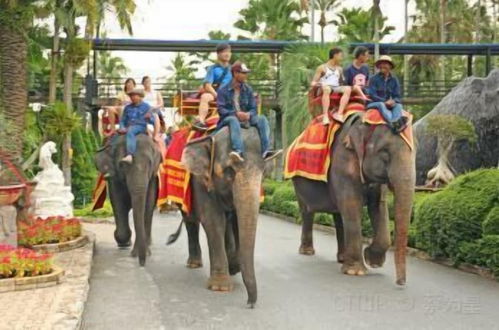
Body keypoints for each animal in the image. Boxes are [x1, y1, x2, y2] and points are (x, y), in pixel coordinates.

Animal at [94, 134, 161, 266]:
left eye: (150, 164)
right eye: (122, 165)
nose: (142, 263)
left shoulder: (152, 178)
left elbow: (147, 204)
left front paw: (144, 253)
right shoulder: (114, 177)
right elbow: (118, 201)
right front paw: (124, 243)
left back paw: (148, 242)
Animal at [172, 126, 274, 306]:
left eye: (264, 173)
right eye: (229, 171)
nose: (250, 303)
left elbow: (236, 221)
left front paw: (234, 266)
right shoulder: (201, 180)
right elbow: (213, 220)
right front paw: (220, 287)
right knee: (191, 220)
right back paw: (194, 264)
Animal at [292, 114, 416, 286]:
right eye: (385, 153)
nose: (401, 283)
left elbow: (379, 206)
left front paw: (373, 261)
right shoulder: (343, 164)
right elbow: (352, 204)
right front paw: (355, 272)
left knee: (339, 215)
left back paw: (342, 258)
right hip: (298, 185)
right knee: (307, 211)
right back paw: (308, 252)